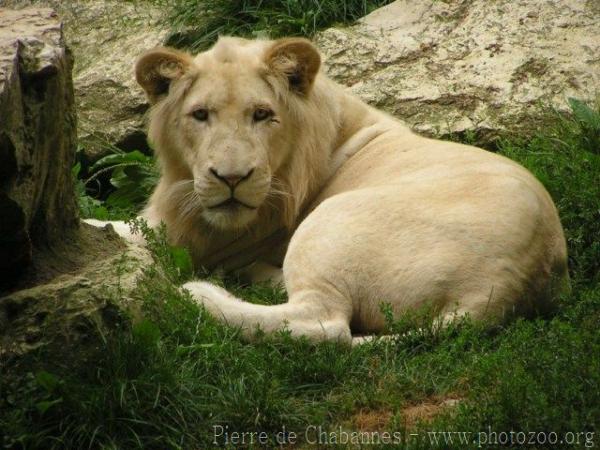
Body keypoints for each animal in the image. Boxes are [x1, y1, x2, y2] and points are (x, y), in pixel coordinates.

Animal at [85, 36, 568, 344]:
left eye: (262, 114)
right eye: (200, 115)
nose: (231, 178)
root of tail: (502, 292)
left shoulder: (180, 238)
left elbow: (116, 232)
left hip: (329, 223)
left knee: (325, 323)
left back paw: (207, 292)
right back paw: (260, 275)